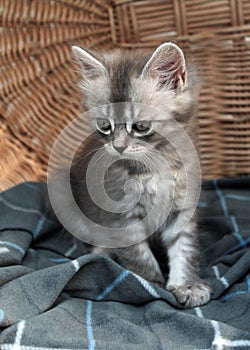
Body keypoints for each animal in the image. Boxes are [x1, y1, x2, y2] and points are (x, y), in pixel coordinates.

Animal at [70, 42, 211, 308]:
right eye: (105, 125)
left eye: (141, 126)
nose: (118, 147)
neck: (154, 167)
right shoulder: (121, 217)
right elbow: (139, 256)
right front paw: (152, 286)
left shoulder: (183, 205)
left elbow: (184, 247)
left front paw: (187, 285)